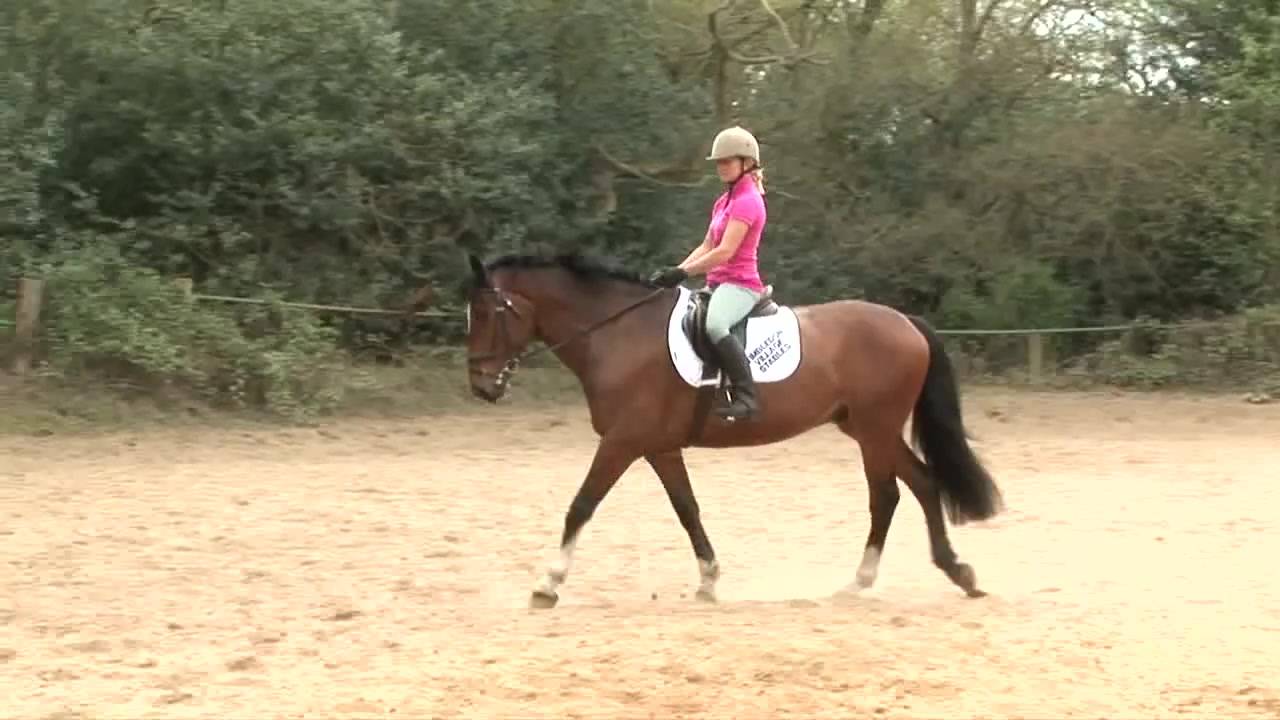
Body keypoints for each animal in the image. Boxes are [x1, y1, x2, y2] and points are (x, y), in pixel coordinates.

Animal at [462, 251, 1003, 608]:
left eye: (488, 313)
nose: (481, 386)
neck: (616, 334)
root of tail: (907, 322)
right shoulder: (658, 447)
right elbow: (687, 510)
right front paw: (708, 579)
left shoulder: (621, 442)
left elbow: (581, 505)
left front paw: (548, 583)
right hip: (867, 428)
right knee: (920, 485)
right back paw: (953, 572)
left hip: (876, 429)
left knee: (888, 495)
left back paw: (873, 578)